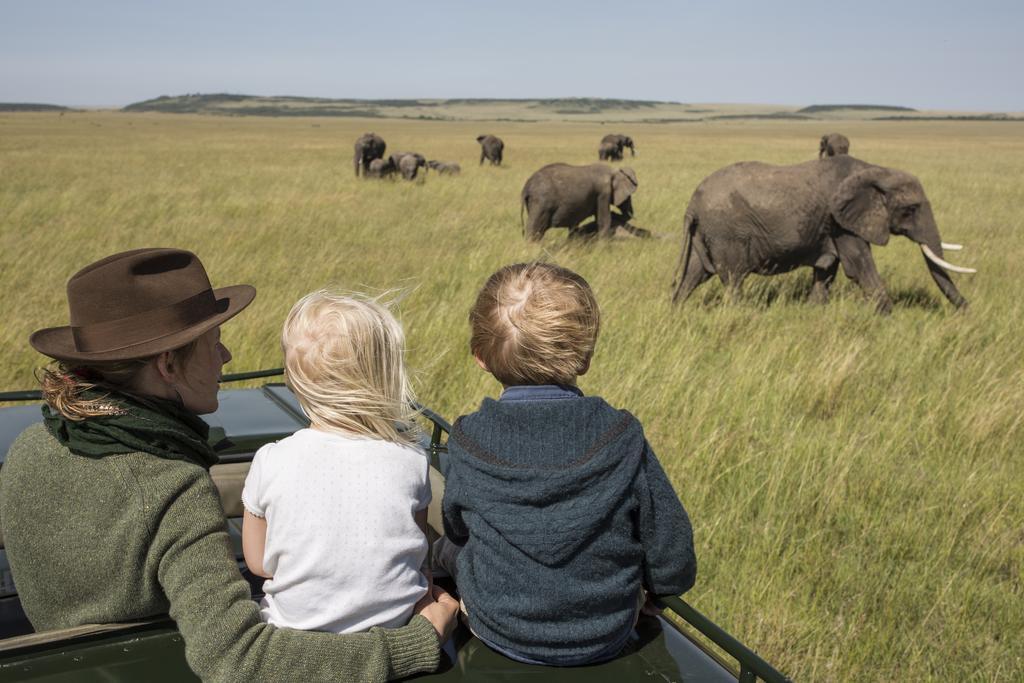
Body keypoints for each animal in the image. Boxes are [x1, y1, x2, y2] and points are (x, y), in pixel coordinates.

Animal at [671, 154, 974, 313]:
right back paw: (739, 314)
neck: (874, 171)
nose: (967, 309)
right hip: (727, 232)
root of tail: (691, 203)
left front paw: (814, 311)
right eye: (910, 210)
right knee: (733, 278)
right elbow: (859, 266)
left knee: (694, 274)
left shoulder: (832, 226)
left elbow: (827, 270)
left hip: (708, 232)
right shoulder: (841, 221)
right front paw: (888, 317)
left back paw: (676, 310)